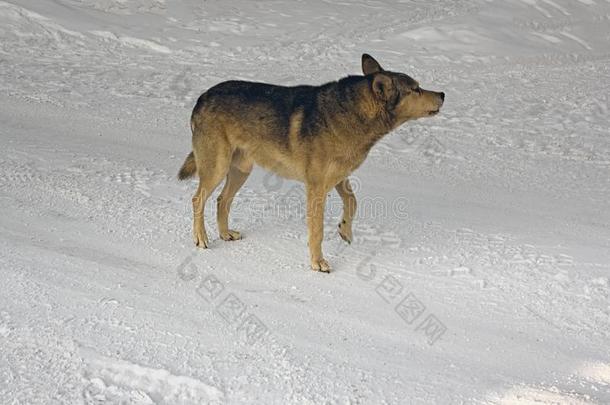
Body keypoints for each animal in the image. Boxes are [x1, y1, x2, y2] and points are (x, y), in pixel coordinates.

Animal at [178, 52, 444, 272]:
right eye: (416, 89)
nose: (443, 94)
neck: (353, 116)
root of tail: (201, 97)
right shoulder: (316, 188)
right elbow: (317, 232)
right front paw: (318, 263)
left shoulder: (338, 178)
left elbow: (353, 202)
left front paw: (345, 230)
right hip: (218, 168)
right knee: (197, 199)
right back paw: (201, 239)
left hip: (241, 170)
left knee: (222, 200)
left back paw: (225, 234)